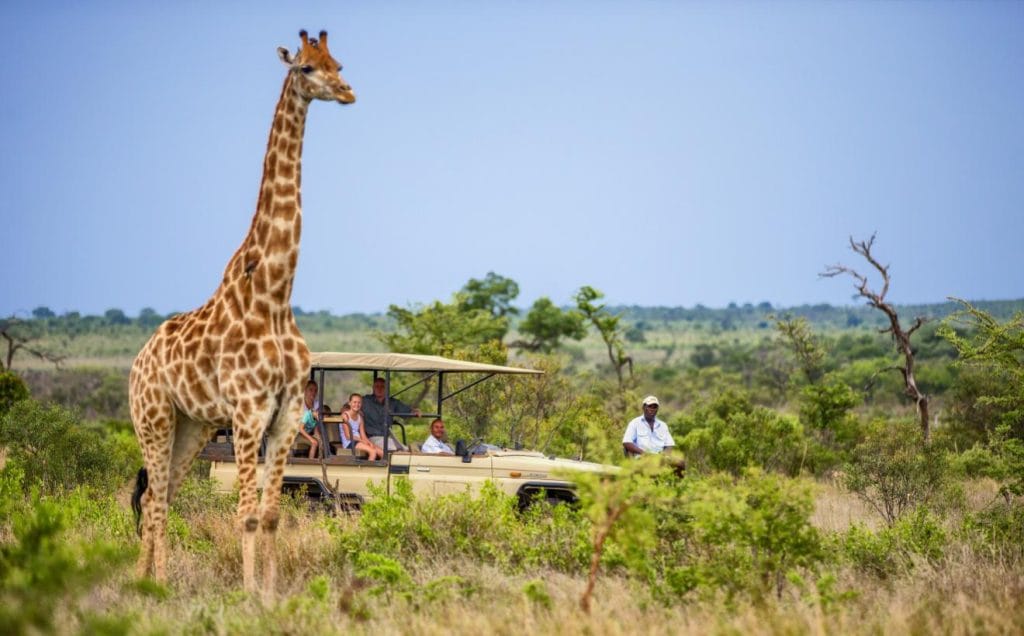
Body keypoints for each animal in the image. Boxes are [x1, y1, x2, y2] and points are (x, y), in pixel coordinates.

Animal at [128, 29, 356, 598]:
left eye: (337, 63)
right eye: (305, 68)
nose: (348, 92)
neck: (274, 294)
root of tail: (137, 363)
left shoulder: (285, 415)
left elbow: (271, 514)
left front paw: (271, 594)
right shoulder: (250, 413)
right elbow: (246, 514)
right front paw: (250, 595)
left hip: (191, 426)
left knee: (158, 497)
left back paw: (146, 581)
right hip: (153, 418)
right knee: (156, 501)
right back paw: (157, 585)